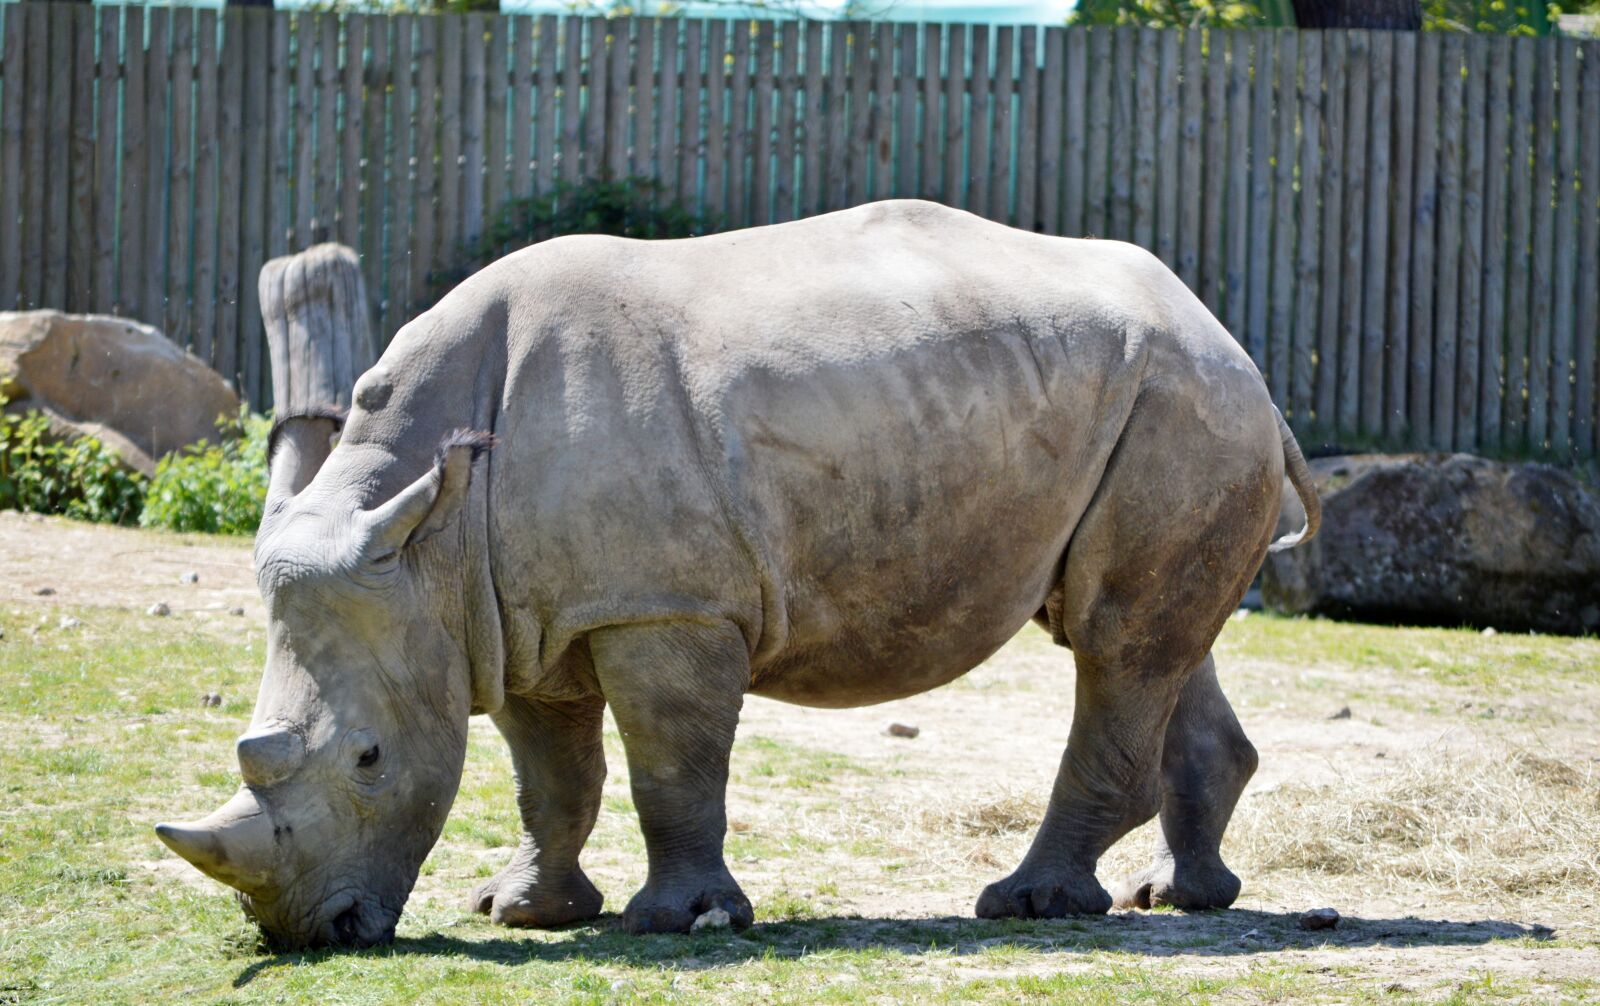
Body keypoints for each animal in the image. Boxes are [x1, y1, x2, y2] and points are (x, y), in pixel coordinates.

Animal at [156, 200, 1319, 948]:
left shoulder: (664, 607)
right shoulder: (513, 614)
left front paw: (678, 922)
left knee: (1116, 644)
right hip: (1161, 407)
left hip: (1182, 403)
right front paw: (522, 911)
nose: (310, 932)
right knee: (1145, 639)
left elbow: (672, 764)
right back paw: (1181, 896)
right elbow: (551, 777)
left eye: (367, 758)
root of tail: (1235, 345)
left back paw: (1028, 905)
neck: (425, 536)